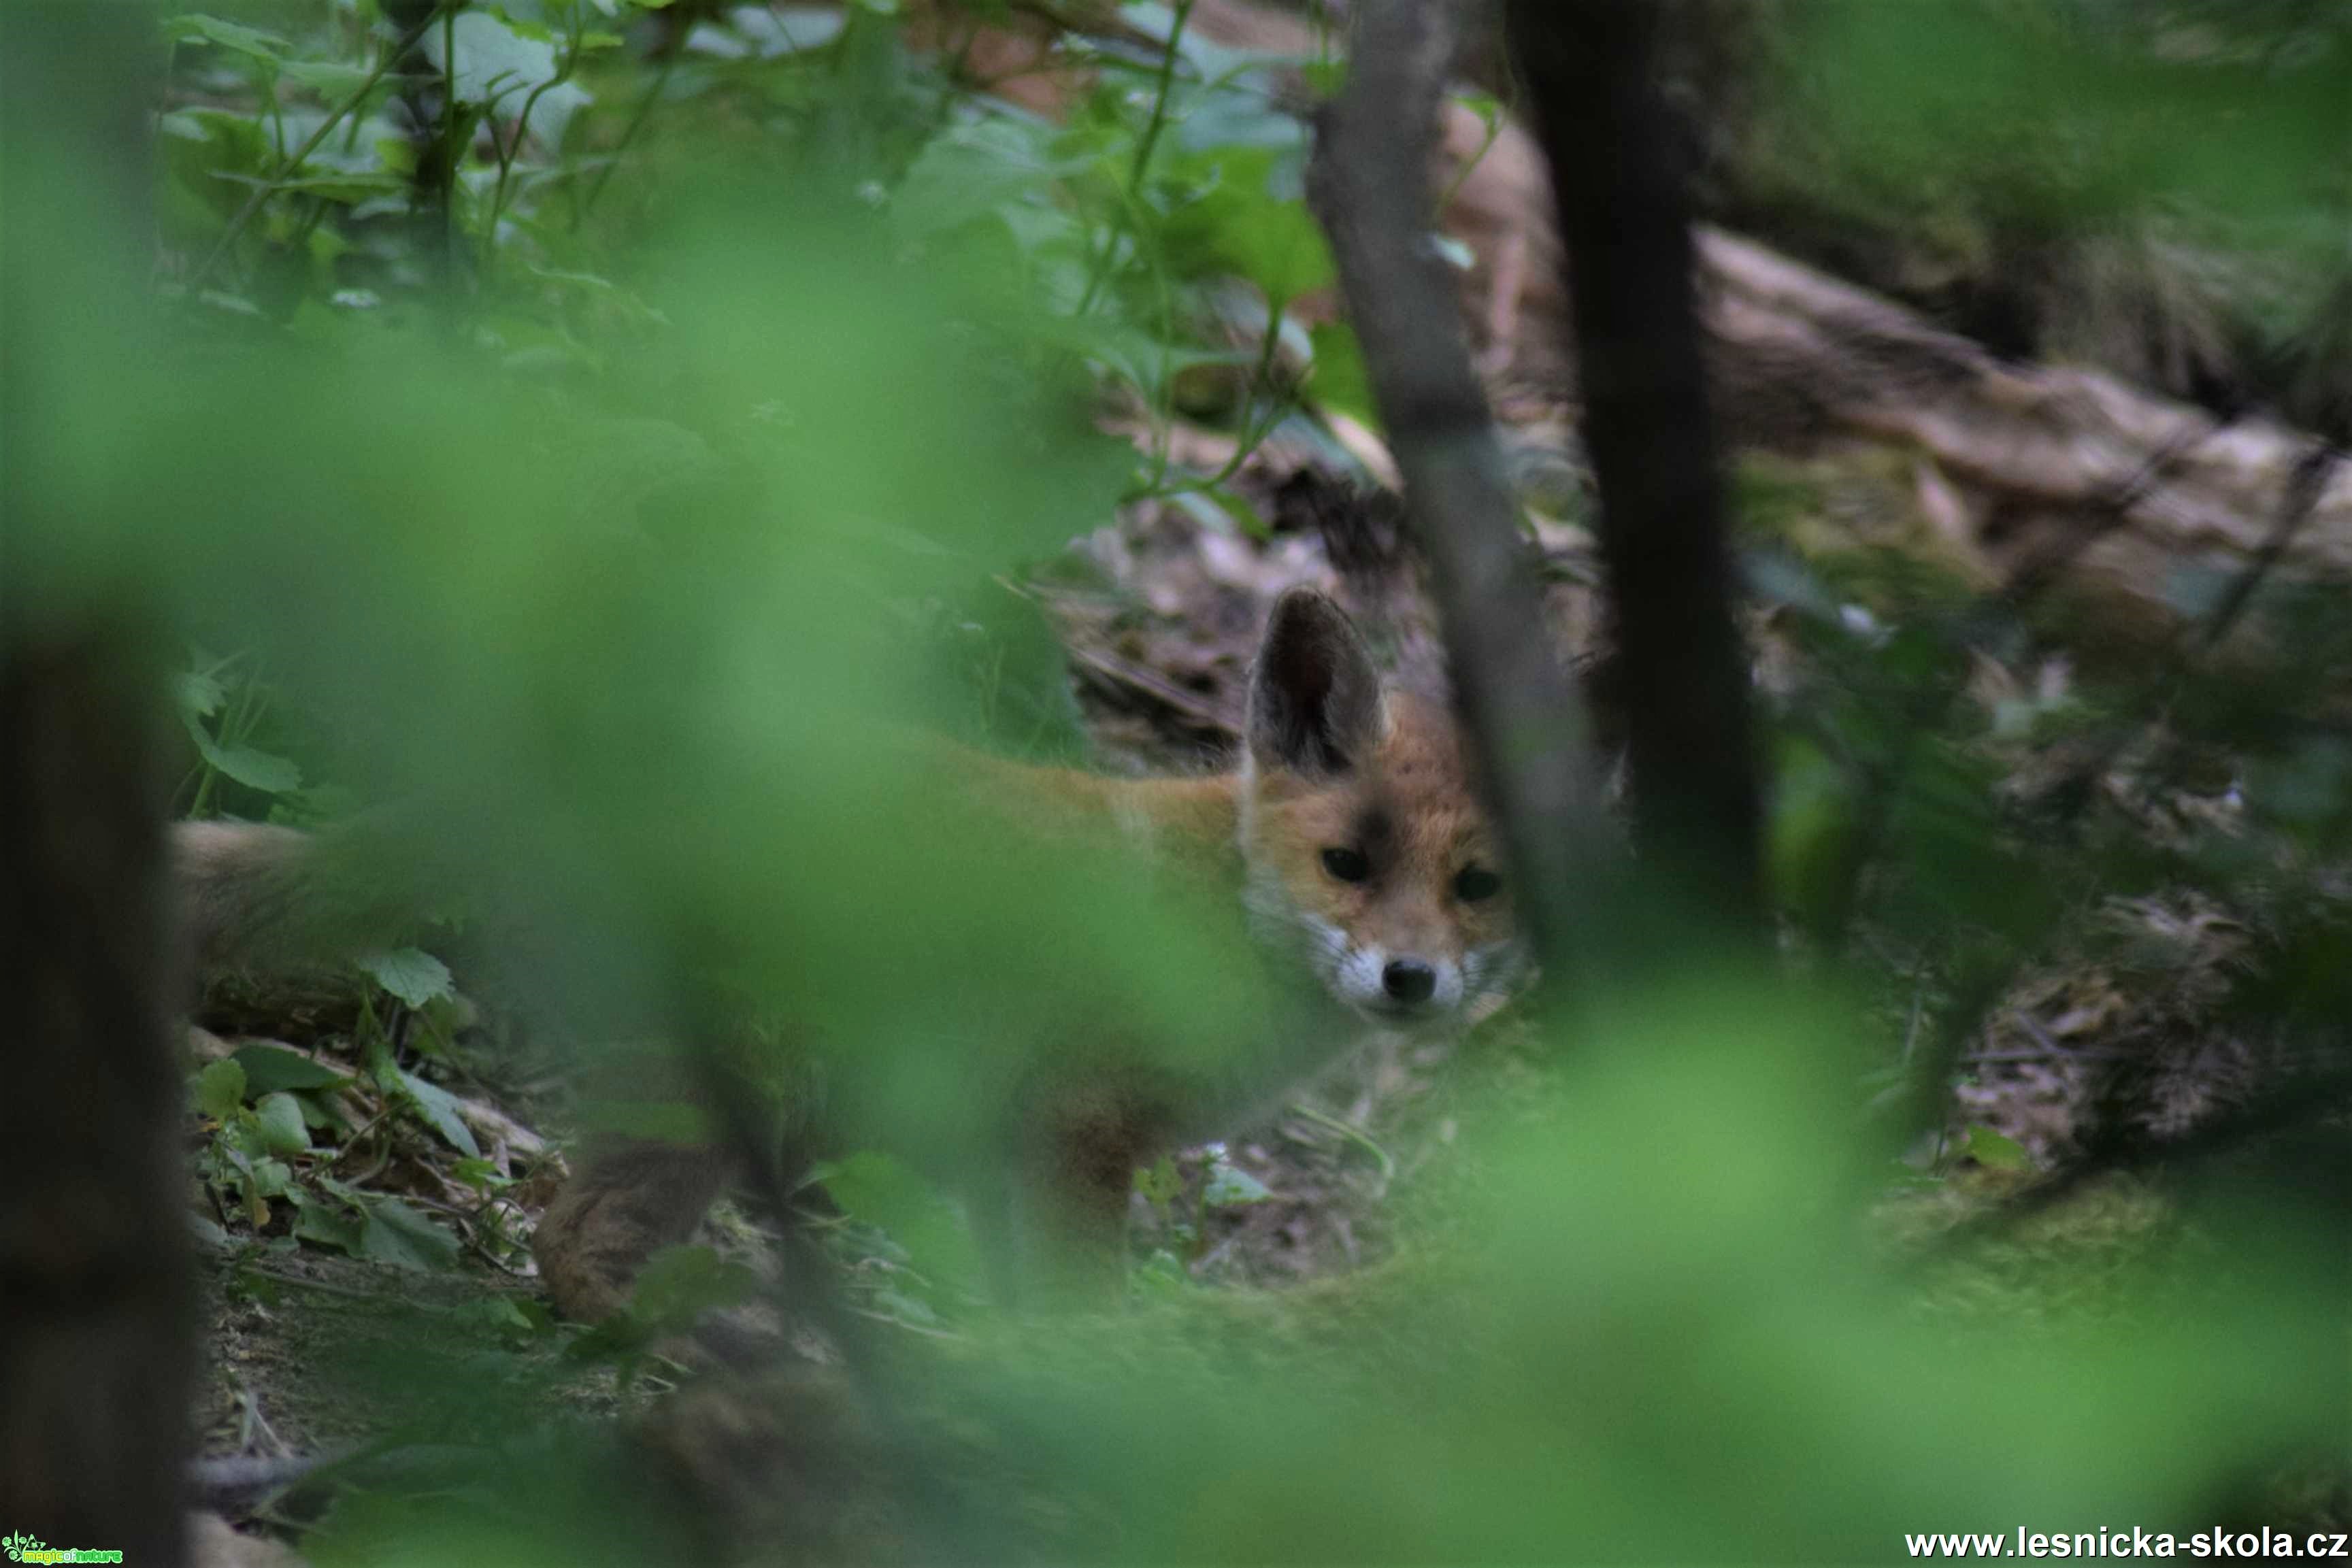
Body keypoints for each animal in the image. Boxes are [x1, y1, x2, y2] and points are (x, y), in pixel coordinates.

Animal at [173, 595, 1514, 1316]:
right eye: (1347, 865)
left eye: (1476, 888)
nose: (1409, 981)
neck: (1215, 918)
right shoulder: (1079, 1133)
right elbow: (1085, 1323)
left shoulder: (1001, 1153)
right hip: (725, 1096)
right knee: (564, 1238)